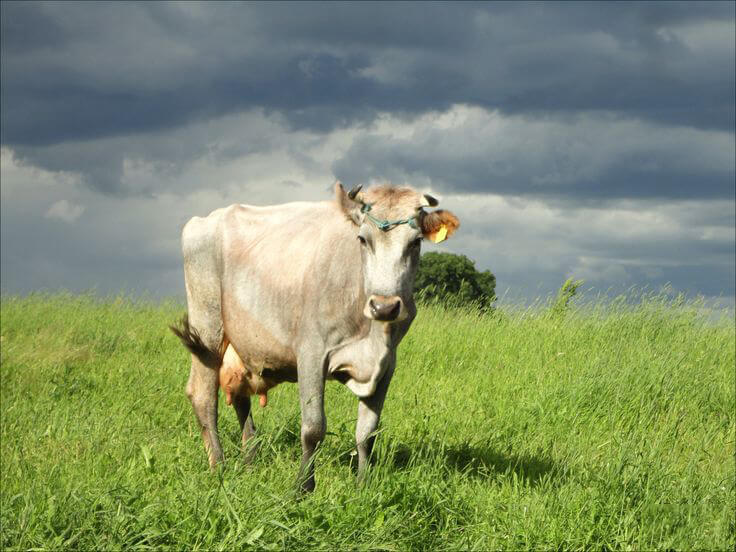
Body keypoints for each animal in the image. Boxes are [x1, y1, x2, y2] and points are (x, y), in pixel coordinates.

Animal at [172, 182, 460, 492]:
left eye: (415, 242)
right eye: (362, 239)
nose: (384, 306)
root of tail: (206, 218)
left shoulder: (387, 365)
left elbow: (367, 433)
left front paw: (362, 484)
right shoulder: (311, 354)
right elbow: (313, 428)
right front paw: (303, 487)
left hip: (243, 345)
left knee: (240, 398)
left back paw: (250, 461)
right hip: (207, 330)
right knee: (203, 395)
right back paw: (220, 466)